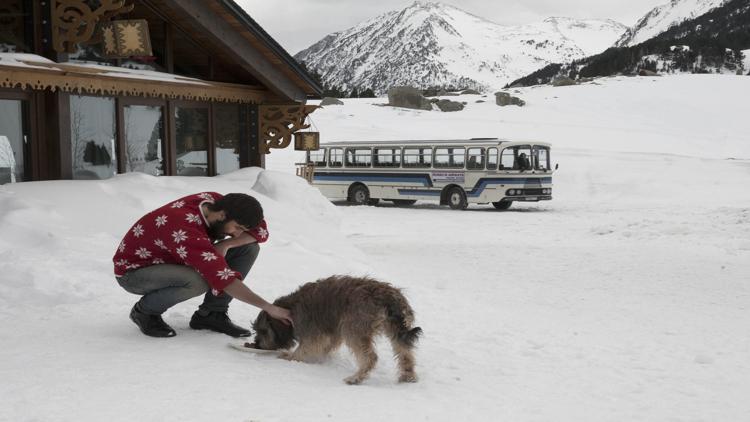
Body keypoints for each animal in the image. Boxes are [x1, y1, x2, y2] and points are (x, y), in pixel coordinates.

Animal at [254, 276, 424, 384]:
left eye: (262, 331)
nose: (256, 344)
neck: (290, 308)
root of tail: (388, 298)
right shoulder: (332, 332)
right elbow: (326, 345)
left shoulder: (313, 332)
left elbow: (305, 348)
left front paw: (289, 356)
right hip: (395, 329)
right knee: (405, 352)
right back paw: (408, 375)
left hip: (354, 329)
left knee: (371, 357)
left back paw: (356, 378)